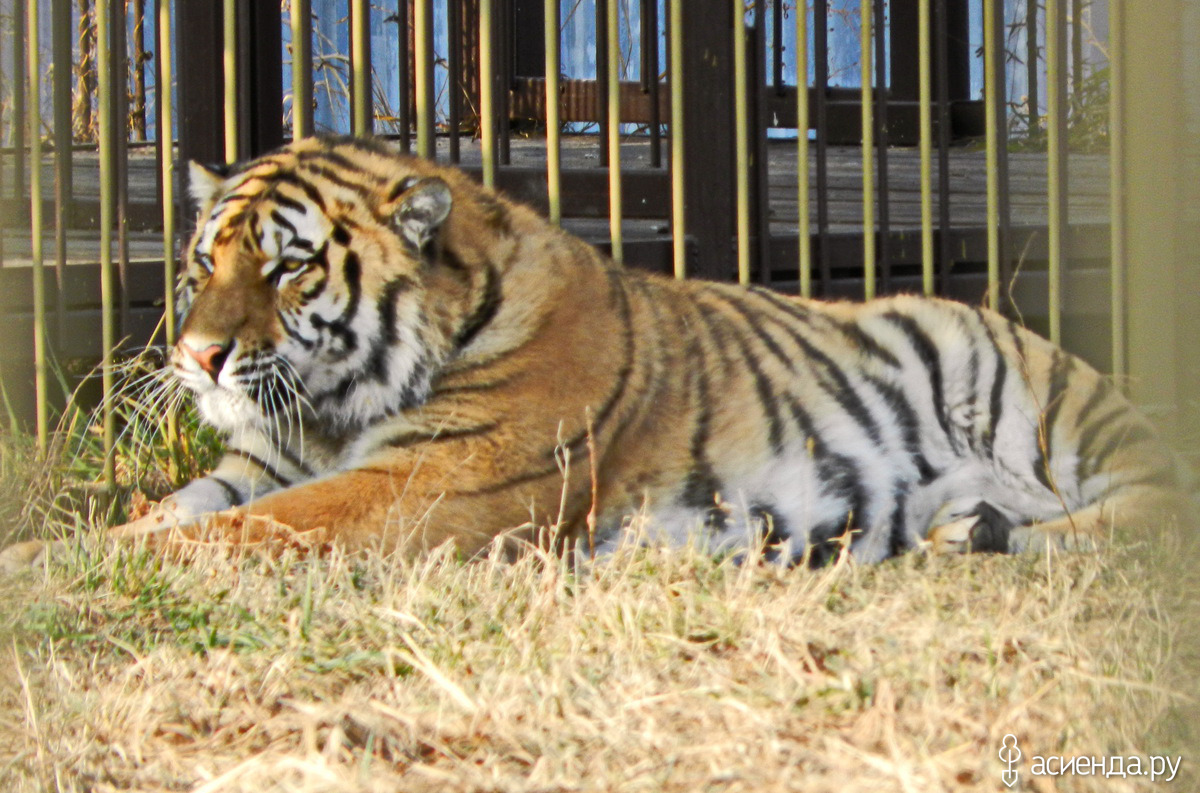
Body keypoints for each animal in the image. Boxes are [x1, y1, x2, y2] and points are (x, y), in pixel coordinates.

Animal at [0, 133, 1185, 571]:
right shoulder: (256, 465)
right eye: (203, 262)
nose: (197, 358)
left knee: (1163, 504)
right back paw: (966, 528)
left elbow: (241, 531)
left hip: (1036, 401)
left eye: (289, 269)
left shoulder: (422, 485)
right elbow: (170, 514)